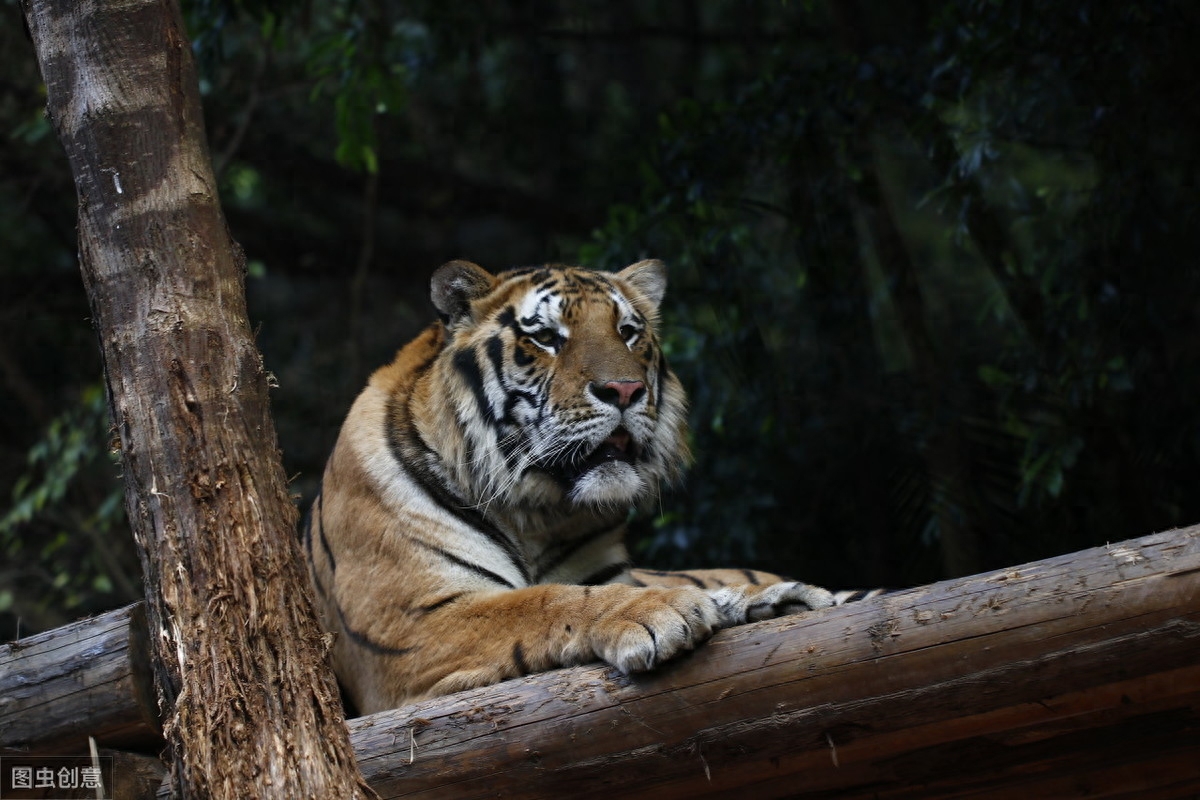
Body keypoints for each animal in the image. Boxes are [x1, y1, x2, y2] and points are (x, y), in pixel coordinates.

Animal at [304, 260, 878, 714]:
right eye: (545, 337)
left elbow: (579, 589)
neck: (536, 513)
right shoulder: (408, 625)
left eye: (628, 331)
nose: (624, 390)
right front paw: (659, 611)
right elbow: (543, 601)